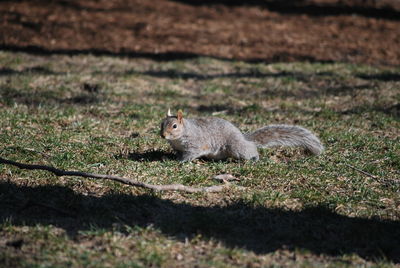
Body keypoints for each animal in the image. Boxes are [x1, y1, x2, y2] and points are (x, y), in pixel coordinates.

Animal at [159, 108, 322, 161]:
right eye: (161, 123)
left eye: (174, 126)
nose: (163, 136)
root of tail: (242, 137)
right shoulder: (178, 147)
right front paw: (173, 158)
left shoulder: (196, 143)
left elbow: (191, 154)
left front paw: (181, 161)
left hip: (235, 147)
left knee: (250, 149)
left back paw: (254, 158)